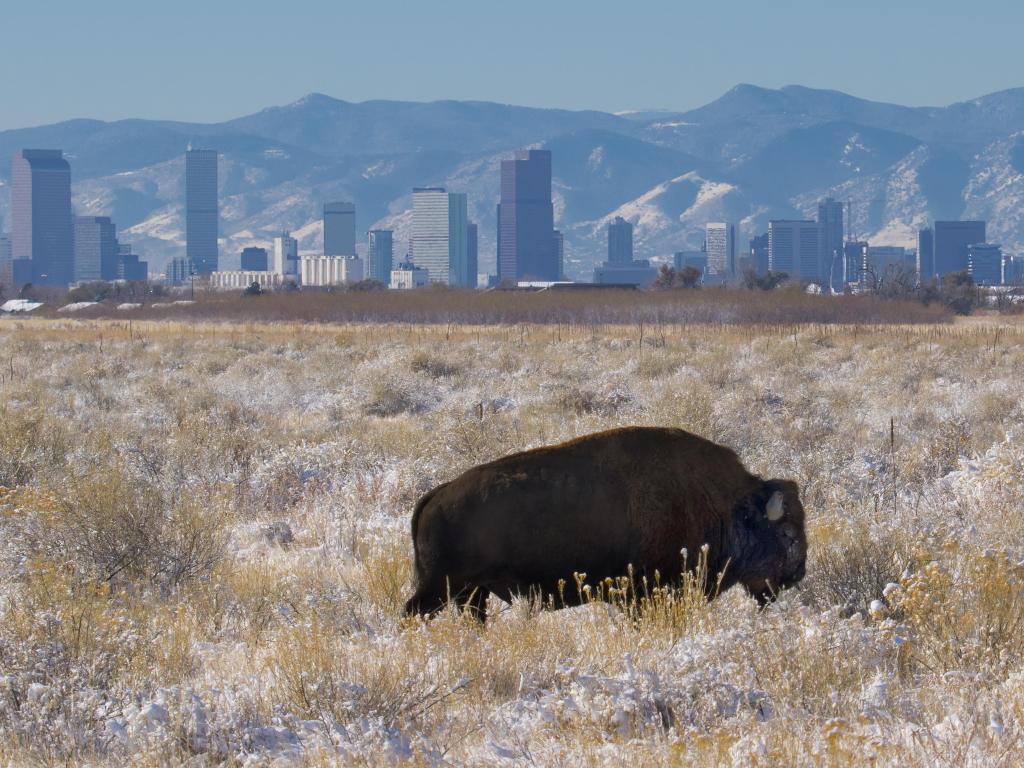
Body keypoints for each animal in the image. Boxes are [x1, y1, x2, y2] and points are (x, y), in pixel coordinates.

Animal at [403, 430, 802, 622]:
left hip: (471, 592)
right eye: (787, 533)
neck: (725, 506)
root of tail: (437, 495)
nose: (796, 575)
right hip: (440, 587)